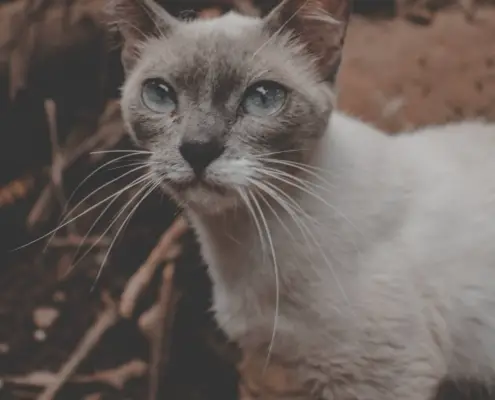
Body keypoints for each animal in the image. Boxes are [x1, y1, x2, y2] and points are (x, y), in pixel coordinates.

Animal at [111, 0, 495, 398]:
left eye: (263, 98)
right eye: (159, 94)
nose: (198, 149)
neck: (245, 243)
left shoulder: (382, 378)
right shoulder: (273, 369)